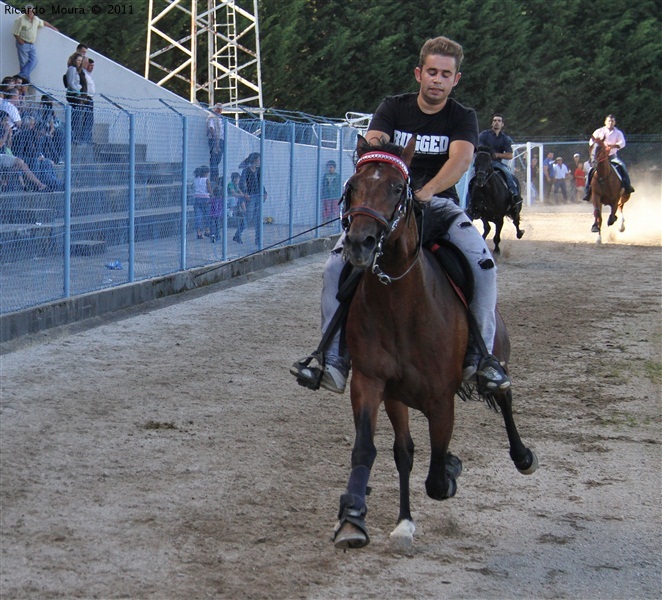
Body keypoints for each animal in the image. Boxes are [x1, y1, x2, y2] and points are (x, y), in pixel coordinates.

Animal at [334, 136, 536, 552]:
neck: (399, 306)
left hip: (497, 353)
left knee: (504, 394)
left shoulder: (441, 401)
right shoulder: (375, 385)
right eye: (353, 186)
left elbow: (438, 478)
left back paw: (523, 455)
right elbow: (384, 451)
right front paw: (359, 519)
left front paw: (452, 467)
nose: (360, 243)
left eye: (398, 188)